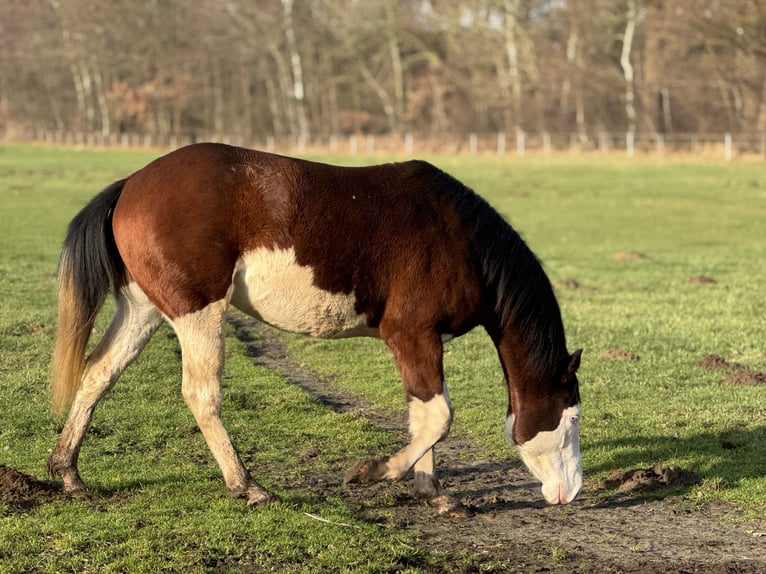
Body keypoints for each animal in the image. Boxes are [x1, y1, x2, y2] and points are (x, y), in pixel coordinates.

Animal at [48, 143, 583, 512]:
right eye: (573, 419)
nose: (572, 492)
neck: (460, 239)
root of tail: (132, 183)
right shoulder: (412, 336)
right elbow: (438, 418)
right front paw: (373, 472)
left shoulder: (421, 344)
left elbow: (423, 415)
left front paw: (434, 493)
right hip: (197, 313)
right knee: (201, 395)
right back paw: (248, 486)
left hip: (142, 310)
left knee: (97, 374)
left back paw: (67, 472)